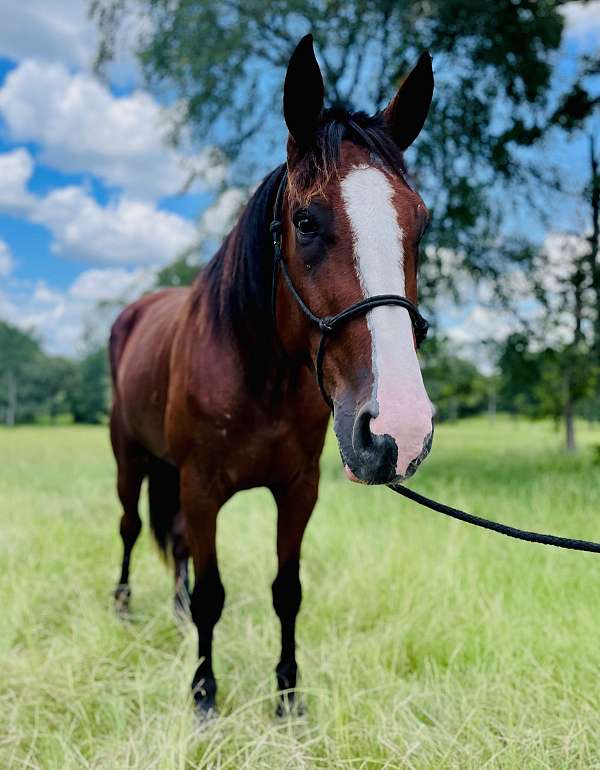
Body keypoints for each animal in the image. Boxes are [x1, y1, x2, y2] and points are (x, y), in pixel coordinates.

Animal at [108, 33, 434, 716]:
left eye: (420, 224)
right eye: (306, 221)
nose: (400, 428)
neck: (257, 378)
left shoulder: (298, 490)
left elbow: (288, 590)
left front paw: (288, 698)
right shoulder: (203, 487)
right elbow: (214, 593)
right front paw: (204, 696)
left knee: (172, 539)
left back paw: (175, 614)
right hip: (129, 456)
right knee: (129, 526)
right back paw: (124, 609)